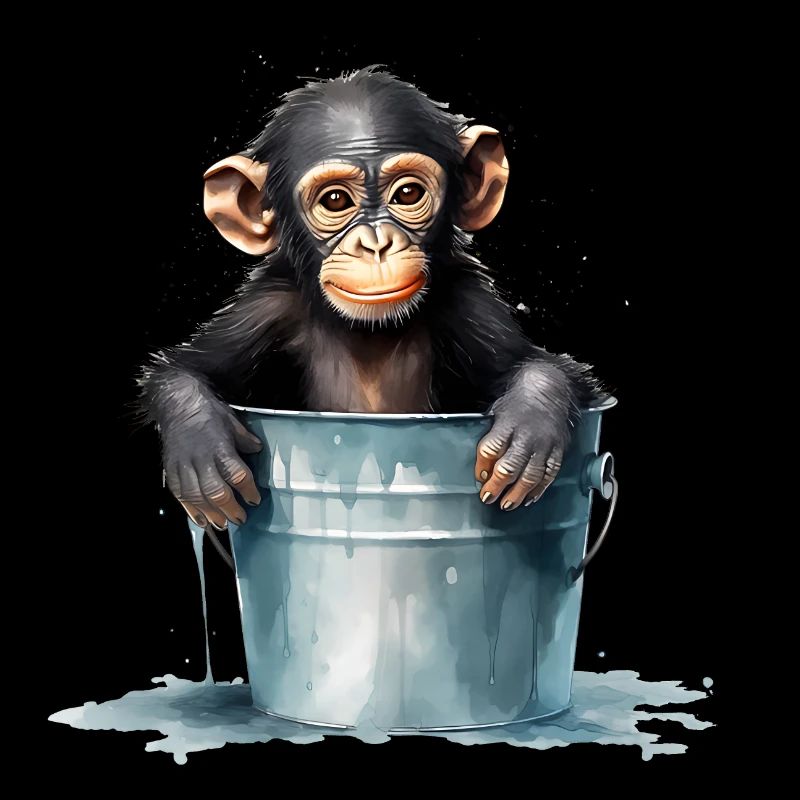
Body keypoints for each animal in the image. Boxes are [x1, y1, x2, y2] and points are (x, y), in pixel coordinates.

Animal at [138, 67, 603, 533]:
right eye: (335, 200)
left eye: (408, 195)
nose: (376, 244)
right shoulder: (265, 309)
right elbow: (190, 368)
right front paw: (199, 446)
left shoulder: (470, 305)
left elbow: (538, 365)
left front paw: (529, 425)